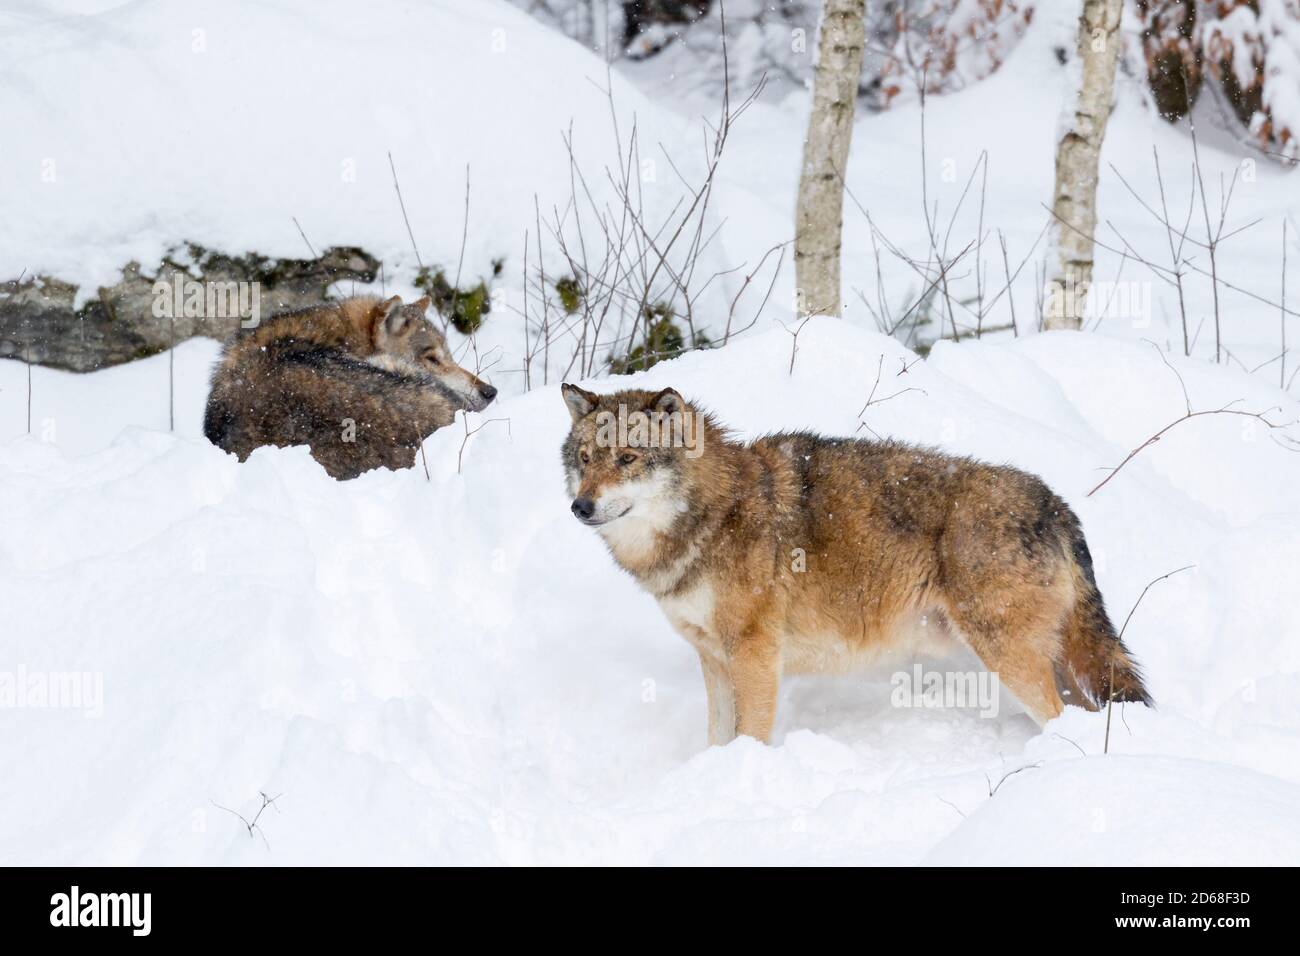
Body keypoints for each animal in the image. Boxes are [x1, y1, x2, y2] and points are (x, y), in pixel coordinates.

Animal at [560, 383, 1151, 746]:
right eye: (585, 460)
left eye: (627, 459)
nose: (580, 507)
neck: (713, 513)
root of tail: (1055, 503)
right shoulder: (713, 658)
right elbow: (717, 738)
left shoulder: (753, 654)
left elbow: (750, 735)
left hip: (1010, 656)